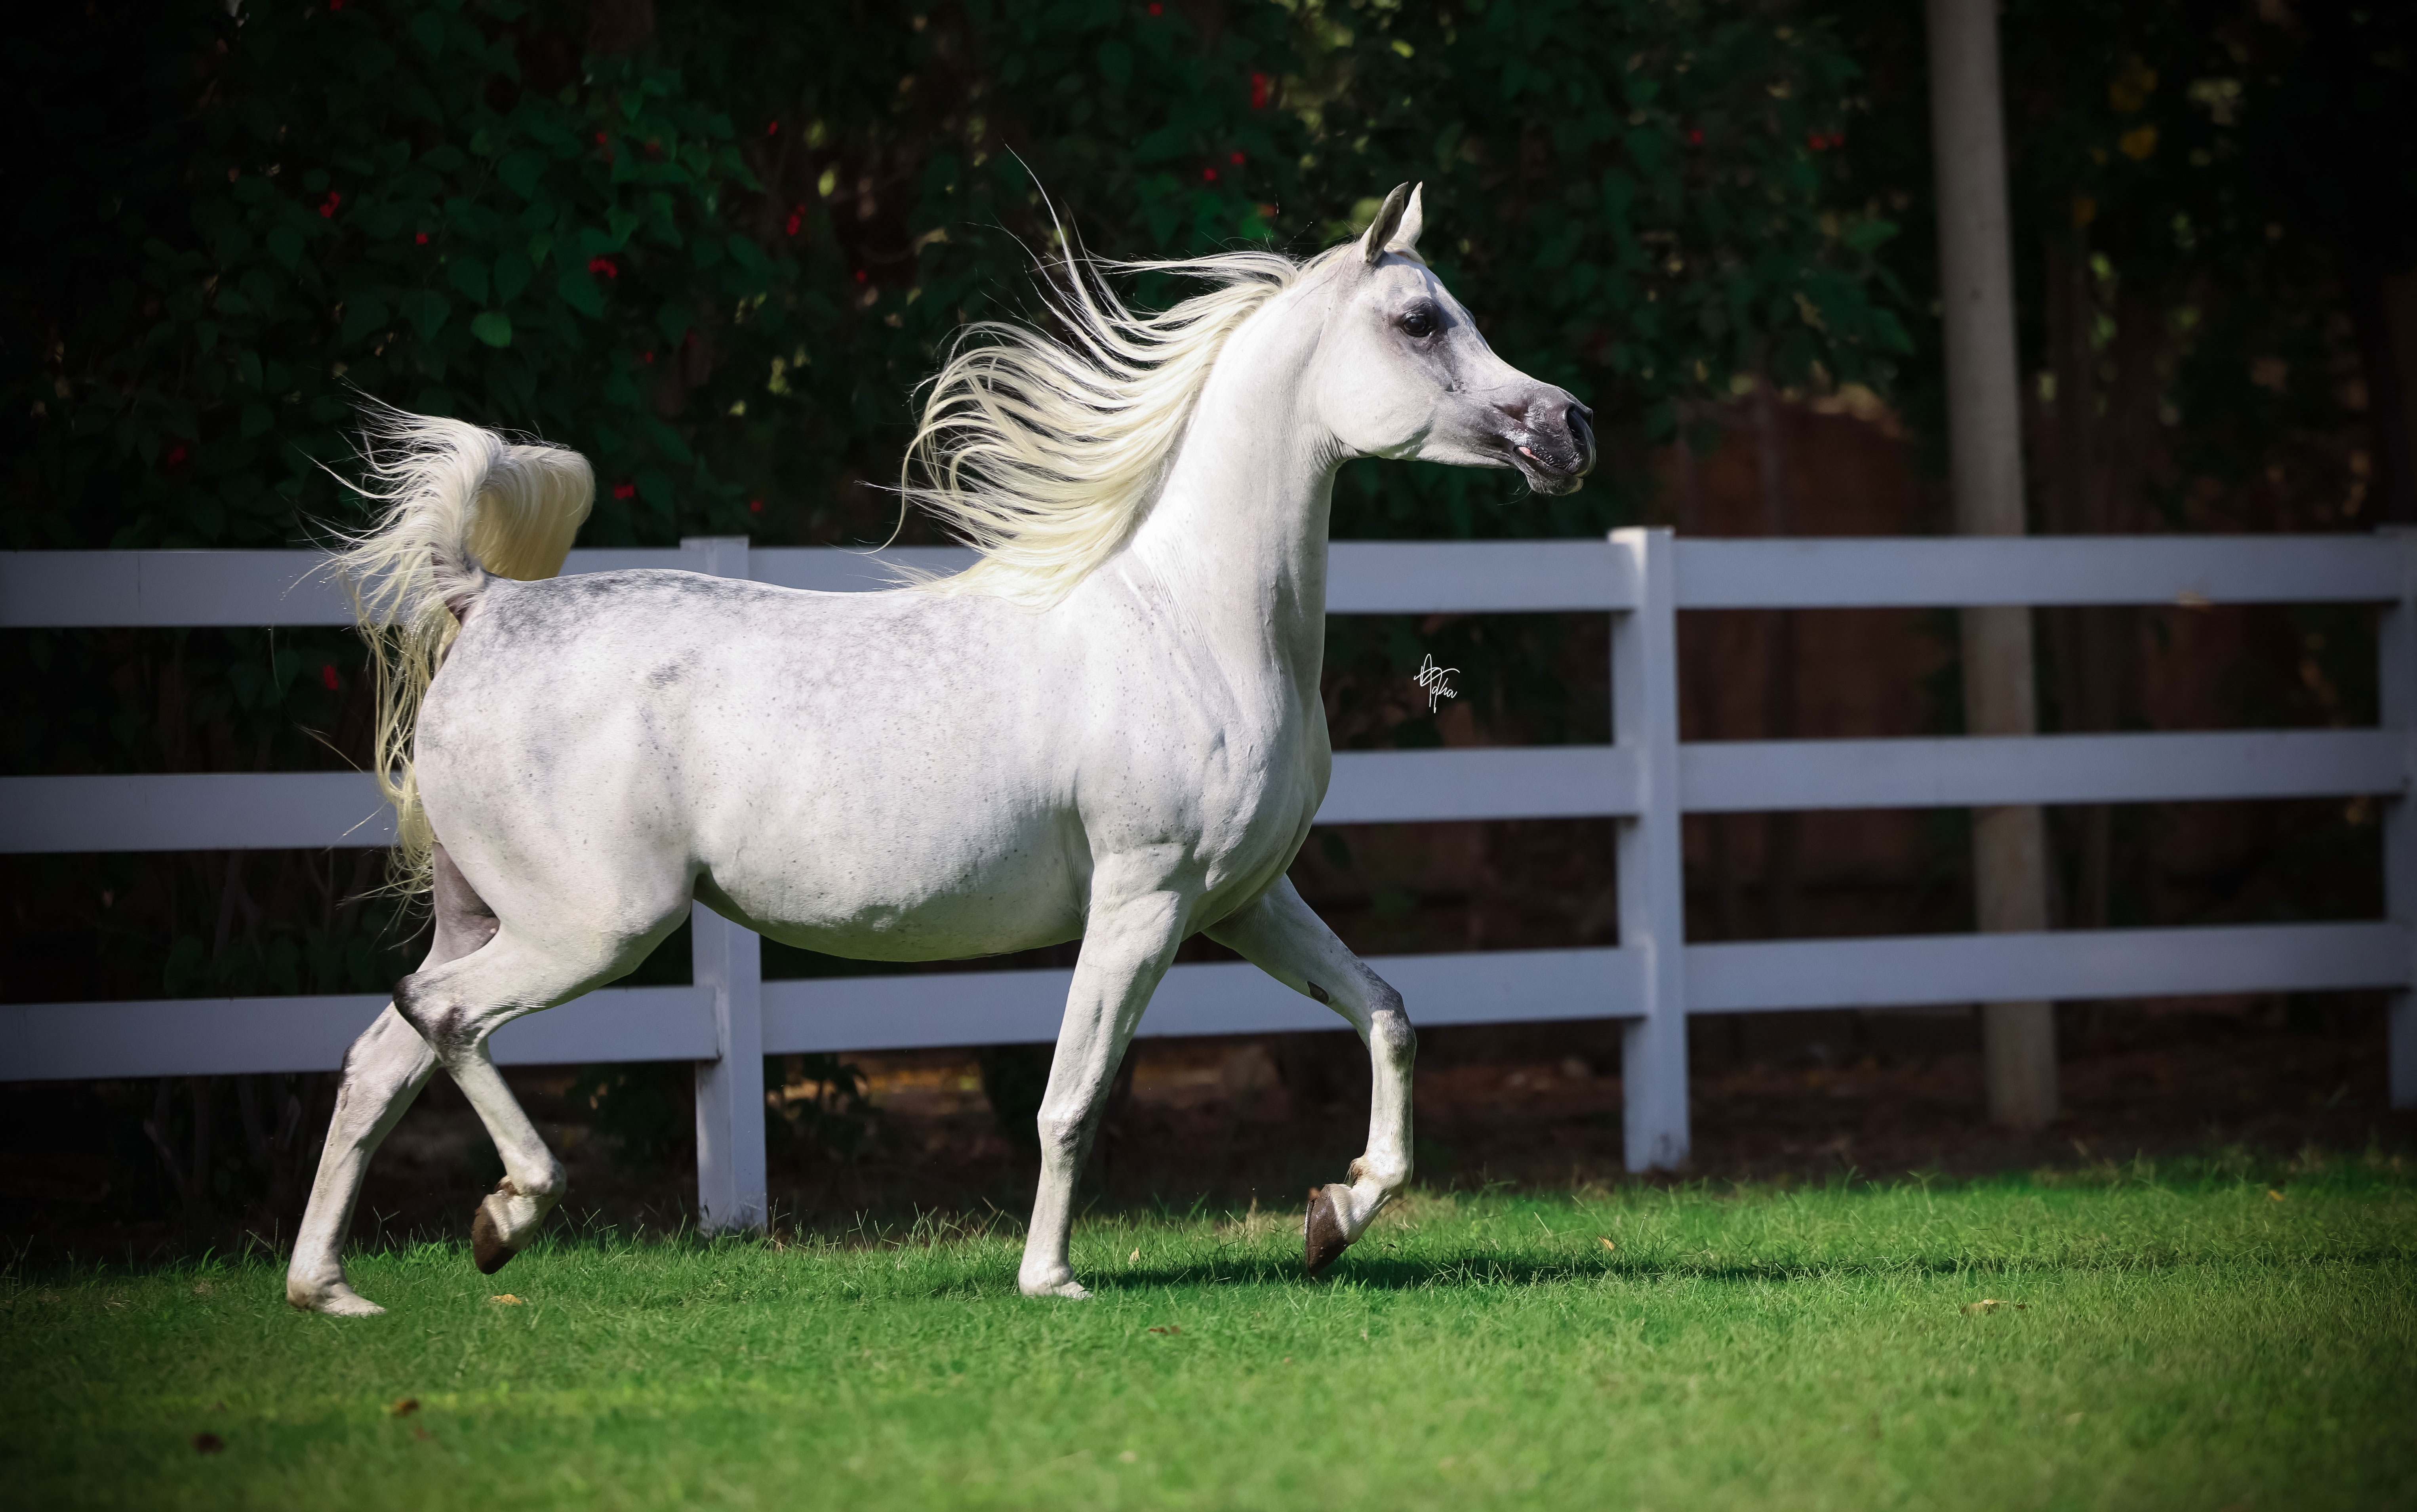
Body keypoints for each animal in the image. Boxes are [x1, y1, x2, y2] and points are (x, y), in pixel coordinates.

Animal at [286, 183, 1594, 1314]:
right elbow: (1071, 1099)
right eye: (1419, 320)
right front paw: (1051, 1281)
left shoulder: (1239, 899)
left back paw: (332, 1290)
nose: (1568, 427)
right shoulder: (1143, 898)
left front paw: (1334, 1215)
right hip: (595, 926)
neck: (1192, 624)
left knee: (380, 1052)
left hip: (494, 917)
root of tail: (487, 600)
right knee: (439, 1018)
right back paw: (507, 1214)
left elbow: (1386, 1014)